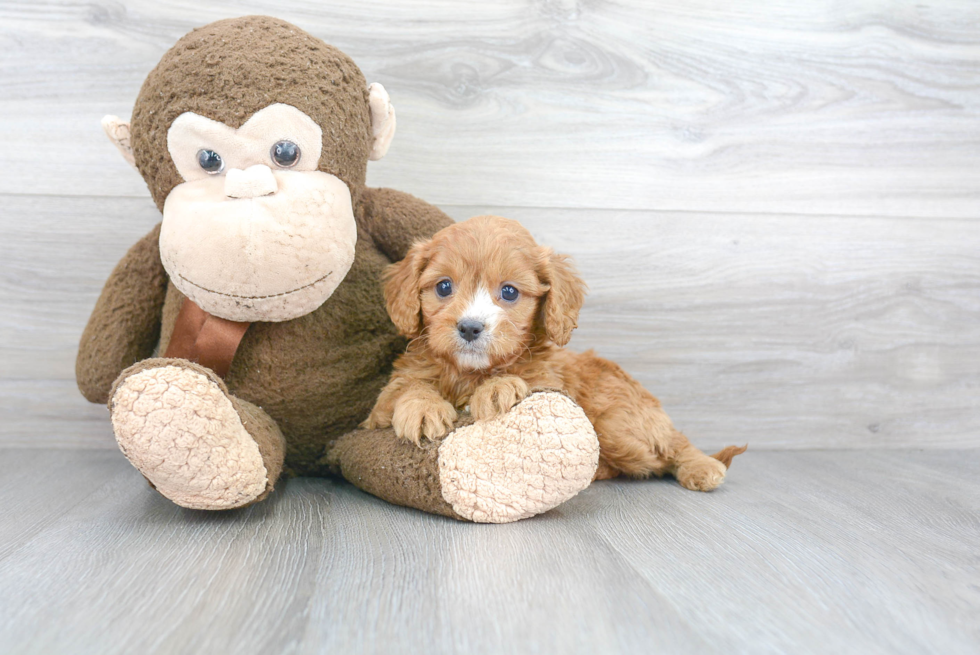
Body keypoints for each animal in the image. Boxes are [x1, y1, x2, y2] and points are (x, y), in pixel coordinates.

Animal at [364, 215, 748, 492]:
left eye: (509, 292)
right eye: (444, 286)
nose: (470, 327)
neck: (470, 373)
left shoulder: (551, 386)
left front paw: (498, 388)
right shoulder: (381, 406)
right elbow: (406, 389)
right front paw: (423, 408)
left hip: (620, 428)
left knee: (670, 444)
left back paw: (702, 465)